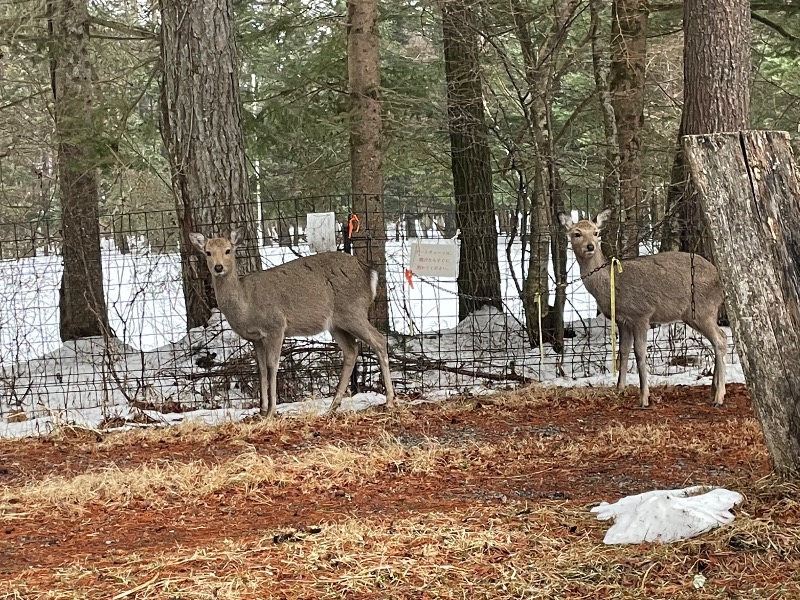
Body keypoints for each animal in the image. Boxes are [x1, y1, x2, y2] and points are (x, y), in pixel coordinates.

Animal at [191, 230, 396, 418]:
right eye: (208, 252)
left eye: (228, 250)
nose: (218, 267)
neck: (246, 305)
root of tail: (370, 273)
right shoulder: (256, 338)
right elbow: (261, 369)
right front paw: (262, 410)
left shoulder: (275, 327)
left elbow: (272, 366)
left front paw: (272, 411)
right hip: (336, 323)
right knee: (352, 350)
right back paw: (332, 407)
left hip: (353, 311)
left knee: (379, 340)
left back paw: (390, 400)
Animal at [560, 210, 728, 408]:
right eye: (577, 233)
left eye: (596, 232)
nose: (590, 246)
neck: (611, 284)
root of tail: (719, 280)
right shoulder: (622, 320)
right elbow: (623, 352)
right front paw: (620, 389)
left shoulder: (641, 314)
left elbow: (640, 353)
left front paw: (644, 398)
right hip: (696, 314)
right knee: (720, 338)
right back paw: (713, 390)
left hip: (703, 309)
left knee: (720, 340)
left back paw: (719, 396)